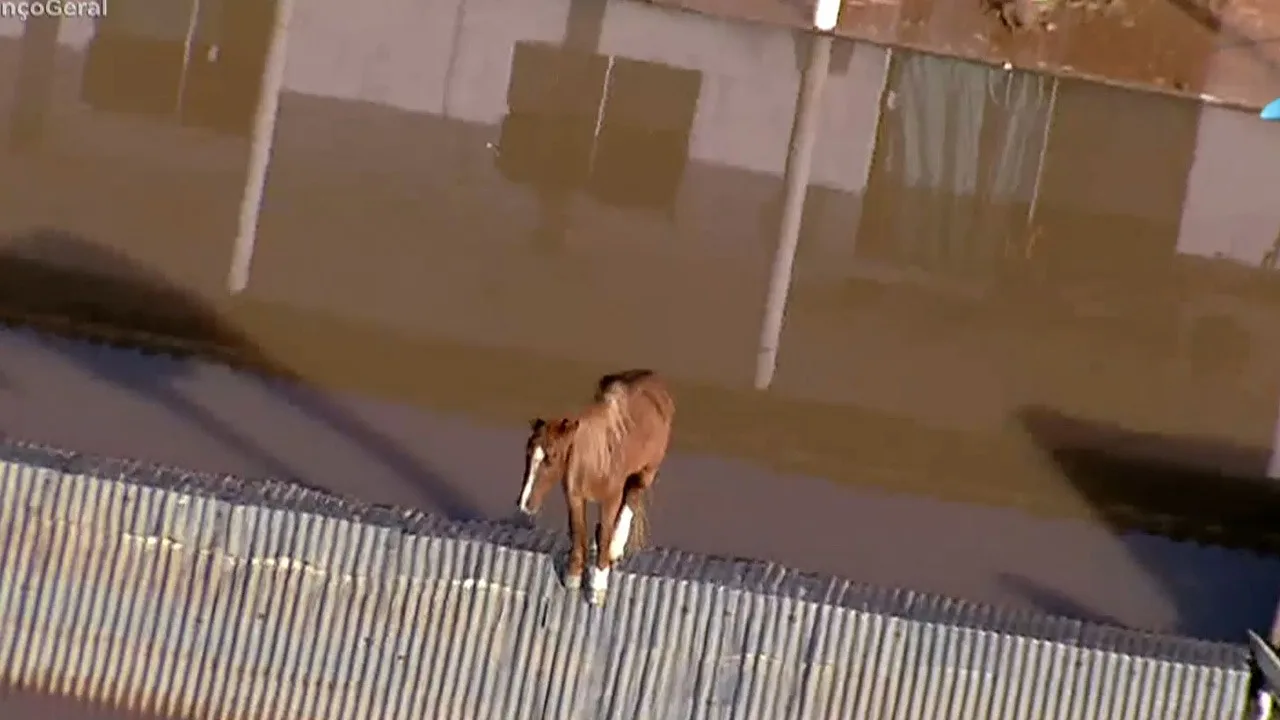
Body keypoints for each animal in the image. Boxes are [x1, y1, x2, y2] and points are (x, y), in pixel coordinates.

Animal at [514, 366, 675, 602]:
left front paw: (598, 586)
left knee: (631, 500)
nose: (524, 503)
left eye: (552, 457)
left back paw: (614, 548)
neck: (595, 458)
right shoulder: (574, 497)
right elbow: (578, 530)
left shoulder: (610, 499)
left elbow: (605, 529)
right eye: (527, 453)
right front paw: (573, 577)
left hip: (646, 473)